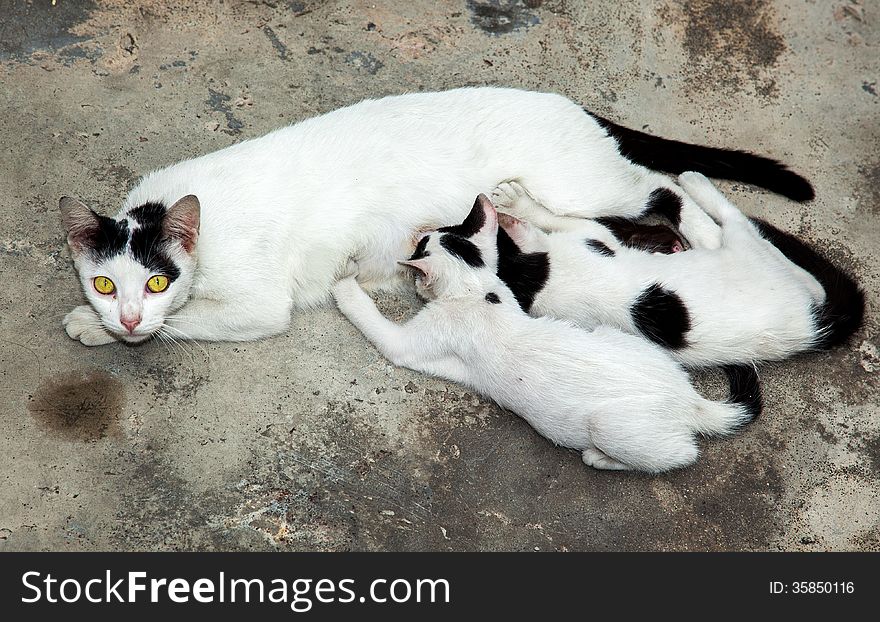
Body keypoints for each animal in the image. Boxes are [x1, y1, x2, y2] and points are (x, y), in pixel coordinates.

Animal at [58, 86, 812, 346]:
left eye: (157, 281)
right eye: (106, 283)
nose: (127, 317)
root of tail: (567, 103)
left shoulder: (258, 306)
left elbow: (186, 322)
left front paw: (99, 331)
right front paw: (101, 323)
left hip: (588, 183)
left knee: (664, 188)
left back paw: (698, 236)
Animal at [334, 195, 760, 472]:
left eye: (423, 245)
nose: (418, 235)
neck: (477, 289)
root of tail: (691, 400)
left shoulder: (412, 343)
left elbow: (371, 319)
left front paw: (343, 282)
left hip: (613, 427)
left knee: (682, 454)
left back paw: (600, 457)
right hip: (611, 334)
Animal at [488, 171, 868, 368]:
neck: (537, 282)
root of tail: (813, 329)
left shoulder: (595, 239)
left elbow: (554, 218)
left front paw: (517, 202)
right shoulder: (596, 239)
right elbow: (555, 219)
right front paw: (520, 205)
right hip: (745, 250)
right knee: (737, 225)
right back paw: (696, 184)